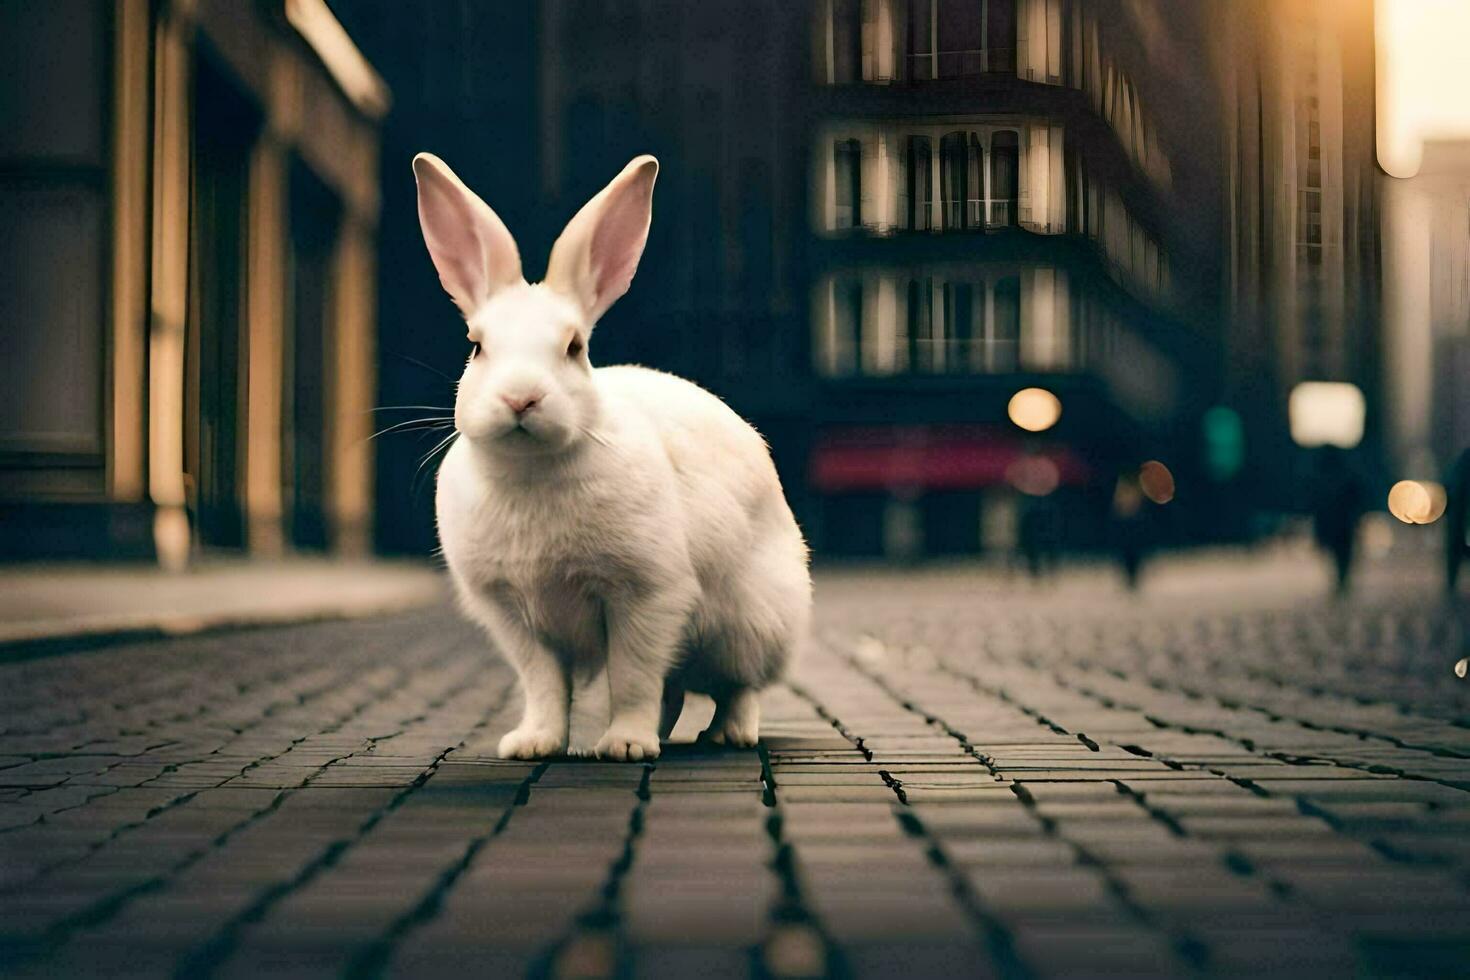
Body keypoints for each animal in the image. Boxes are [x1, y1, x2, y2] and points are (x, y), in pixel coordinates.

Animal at [414, 155, 817, 764]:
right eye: (477, 346)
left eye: (574, 348)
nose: (521, 398)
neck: (531, 471)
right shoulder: (516, 618)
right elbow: (543, 685)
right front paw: (534, 744)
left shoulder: (647, 596)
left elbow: (632, 677)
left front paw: (625, 745)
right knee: (675, 690)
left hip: (748, 626)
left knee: (737, 686)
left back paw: (725, 735)